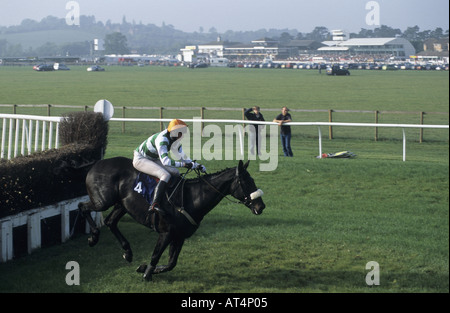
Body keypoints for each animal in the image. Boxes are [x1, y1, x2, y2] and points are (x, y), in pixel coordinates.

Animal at [79, 157, 266, 280]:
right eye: (247, 182)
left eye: (253, 180)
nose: (261, 206)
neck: (191, 198)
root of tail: (97, 164)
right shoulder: (166, 233)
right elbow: (156, 256)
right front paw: (147, 273)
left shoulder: (179, 236)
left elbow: (171, 263)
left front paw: (145, 268)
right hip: (103, 201)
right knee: (83, 207)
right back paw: (93, 237)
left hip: (121, 205)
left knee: (110, 222)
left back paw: (128, 252)